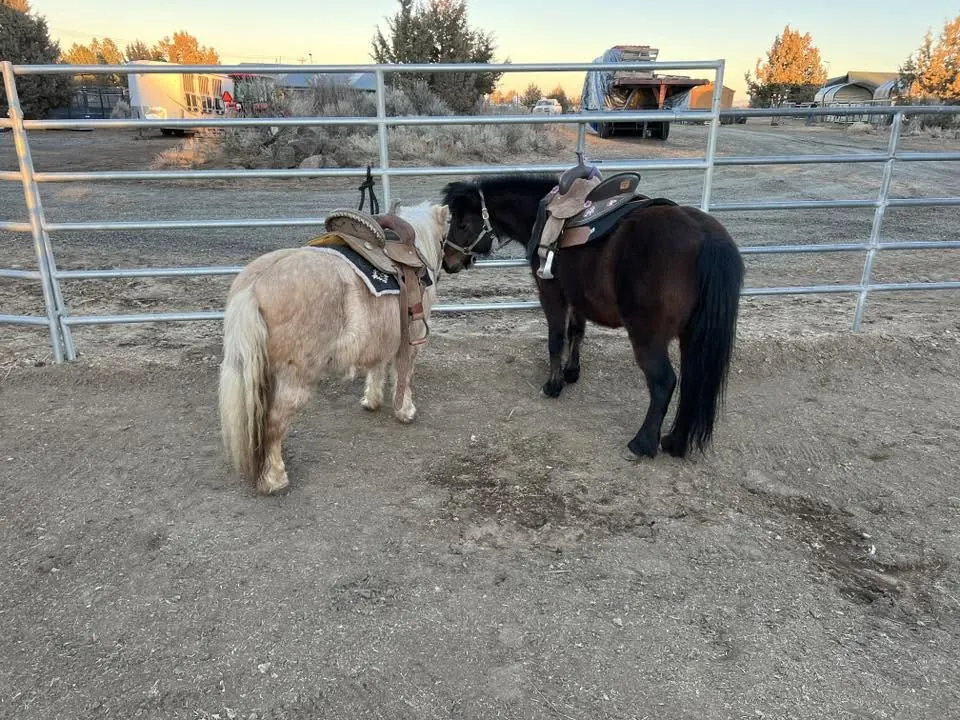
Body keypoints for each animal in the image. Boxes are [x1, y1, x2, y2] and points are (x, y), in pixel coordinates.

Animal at [218, 201, 450, 494]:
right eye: (445, 239)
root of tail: (256, 285)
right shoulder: (411, 340)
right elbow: (403, 375)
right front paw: (405, 411)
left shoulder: (383, 341)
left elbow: (377, 368)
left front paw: (371, 400)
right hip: (295, 380)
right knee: (274, 423)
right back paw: (275, 478)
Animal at [440, 173, 744, 460]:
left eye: (462, 224)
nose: (447, 262)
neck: (543, 216)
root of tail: (706, 236)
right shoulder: (578, 297)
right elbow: (577, 331)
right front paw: (571, 372)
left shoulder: (552, 293)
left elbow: (556, 338)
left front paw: (553, 385)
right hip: (692, 336)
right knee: (693, 383)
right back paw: (675, 442)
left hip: (648, 338)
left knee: (664, 382)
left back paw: (642, 444)